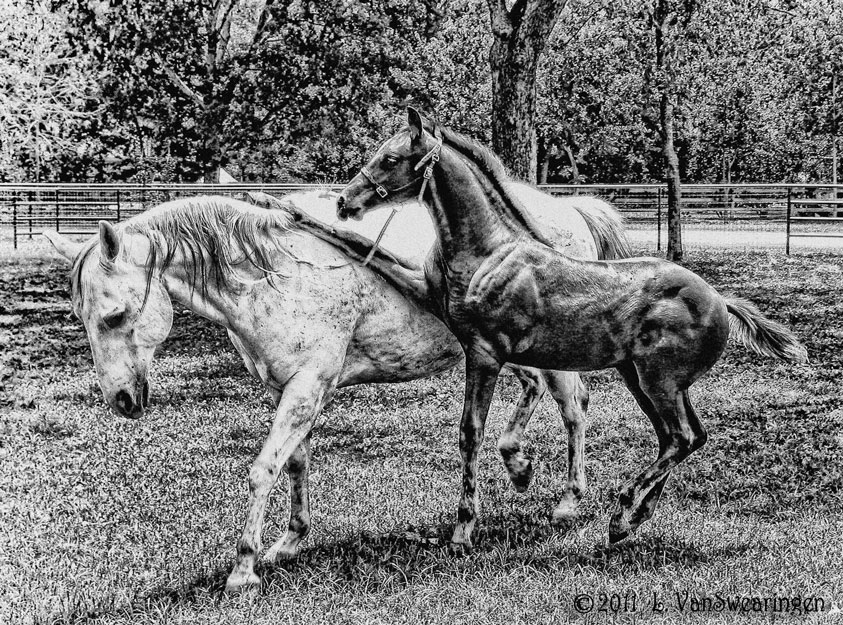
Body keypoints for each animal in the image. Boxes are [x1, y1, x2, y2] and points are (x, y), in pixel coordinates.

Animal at [43, 187, 630, 592]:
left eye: (115, 315)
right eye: (83, 316)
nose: (121, 400)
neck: (276, 275)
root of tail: (569, 211)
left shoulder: (307, 388)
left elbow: (263, 469)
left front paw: (243, 567)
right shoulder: (289, 389)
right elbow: (295, 463)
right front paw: (289, 541)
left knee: (574, 409)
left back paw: (569, 501)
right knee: (536, 396)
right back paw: (518, 464)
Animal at [335, 107, 808, 554]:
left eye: (390, 158)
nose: (344, 201)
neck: (490, 253)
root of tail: (719, 299)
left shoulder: (484, 353)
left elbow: (471, 432)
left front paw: (463, 530)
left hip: (658, 381)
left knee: (680, 437)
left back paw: (620, 511)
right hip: (646, 380)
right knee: (683, 437)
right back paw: (632, 519)